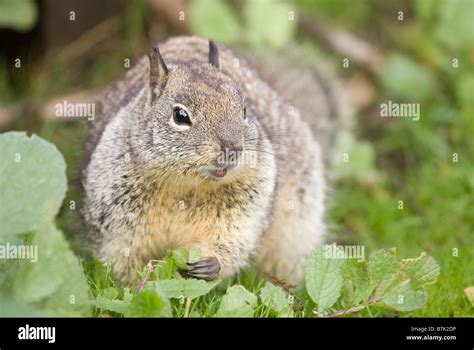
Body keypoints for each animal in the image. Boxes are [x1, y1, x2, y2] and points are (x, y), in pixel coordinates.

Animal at [79, 35, 342, 284]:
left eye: (244, 110)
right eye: (180, 115)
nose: (234, 148)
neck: (183, 187)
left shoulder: (247, 208)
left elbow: (232, 241)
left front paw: (210, 264)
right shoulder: (115, 218)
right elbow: (123, 261)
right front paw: (135, 286)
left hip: (298, 227)